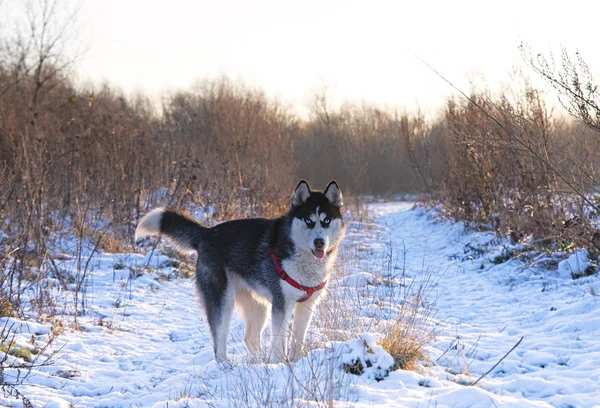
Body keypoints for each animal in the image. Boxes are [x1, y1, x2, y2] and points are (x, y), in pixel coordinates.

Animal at [134, 180, 344, 362]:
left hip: (259, 306)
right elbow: (278, 341)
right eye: (308, 220)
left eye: (326, 221)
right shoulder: (282, 304)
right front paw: (278, 364)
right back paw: (226, 365)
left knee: (250, 338)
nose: (319, 242)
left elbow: (297, 339)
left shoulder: (307, 304)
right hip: (223, 301)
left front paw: (294, 361)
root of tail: (207, 232)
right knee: (219, 341)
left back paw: (258, 362)